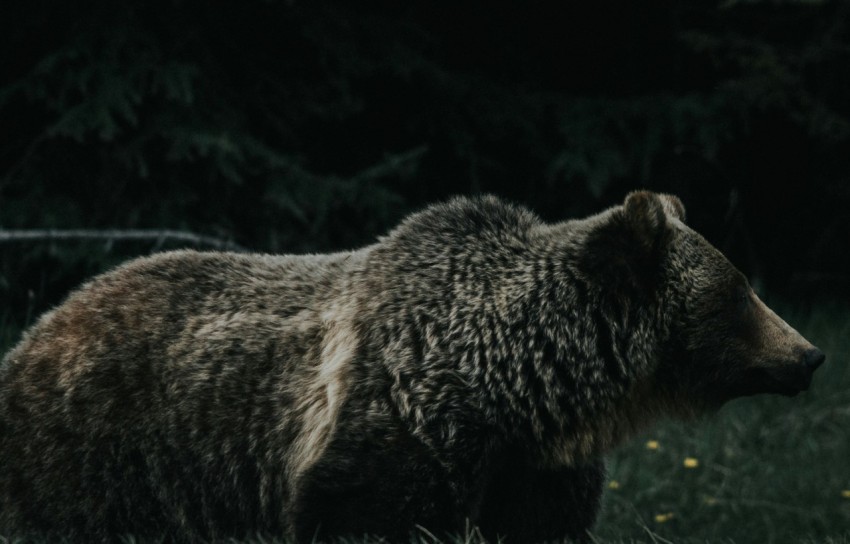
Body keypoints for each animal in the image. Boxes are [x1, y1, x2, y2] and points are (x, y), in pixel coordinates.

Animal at [0, 191, 824, 543]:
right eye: (739, 291)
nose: (810, 355)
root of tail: (40, 327)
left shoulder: (533, 471)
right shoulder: (392, 430)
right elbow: (365, 513)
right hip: (104, 452)